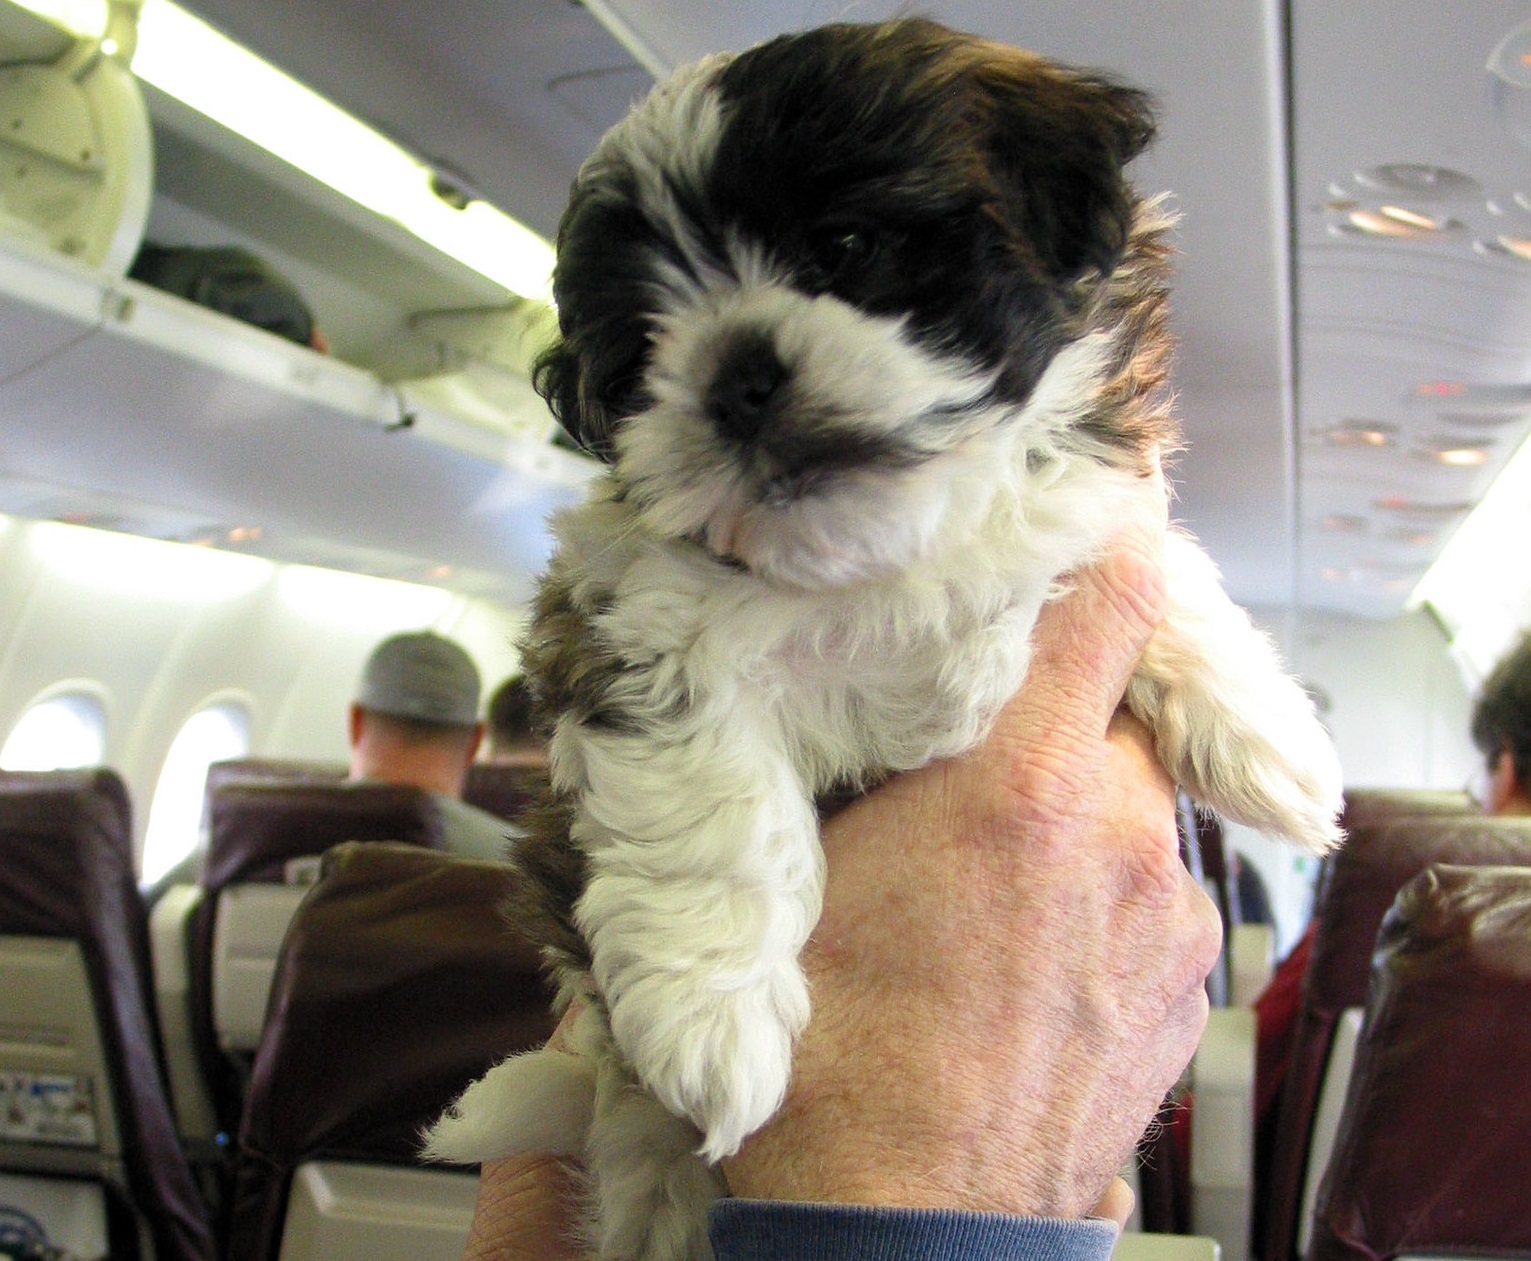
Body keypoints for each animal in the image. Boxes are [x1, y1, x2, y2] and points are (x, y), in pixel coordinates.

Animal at [428, 14, 1341, 1254]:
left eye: (847, 243)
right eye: (650, 339)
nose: (735, 371)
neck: (885, 548)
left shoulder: (1091, 507)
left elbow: (1156, 572)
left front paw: (1271, 740)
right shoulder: (624, 618)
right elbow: (710, 797)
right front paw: (711, 1014)